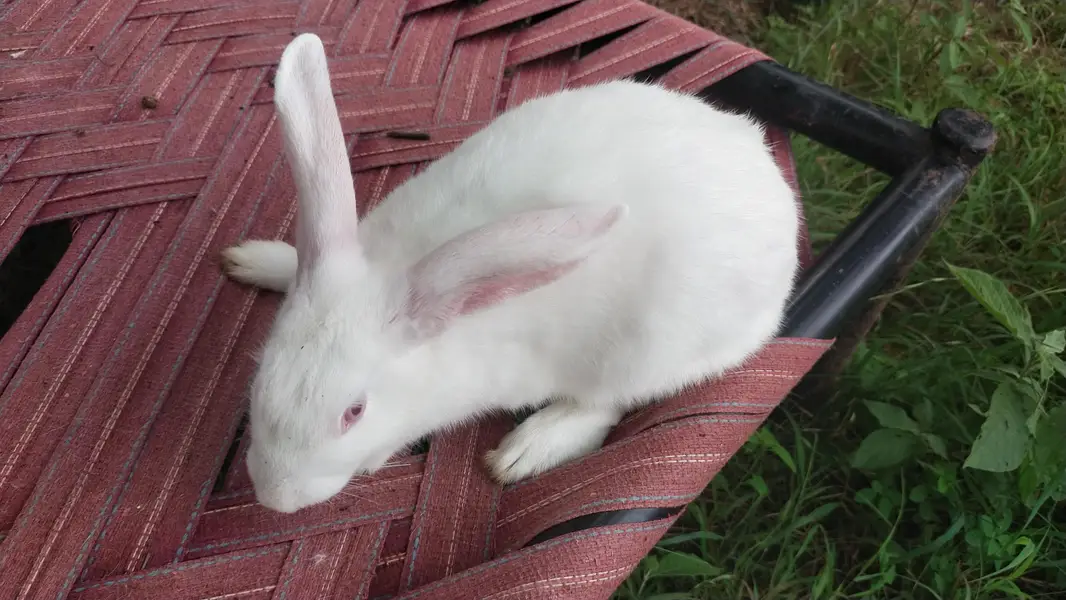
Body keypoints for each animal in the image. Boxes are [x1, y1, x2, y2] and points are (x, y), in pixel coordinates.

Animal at [220, 33, 799, 513]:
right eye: (261, 372)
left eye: (354, 412)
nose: (274, 496)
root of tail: (767, 174)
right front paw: (256, 260)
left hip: (643, 353)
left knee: (604, 406)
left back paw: (525, 450)